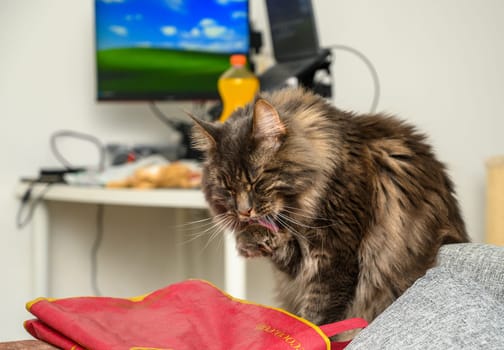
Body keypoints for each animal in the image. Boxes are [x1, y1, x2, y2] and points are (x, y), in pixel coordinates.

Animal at [189, 87, 468, 326]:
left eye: (256, 182)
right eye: (227, 189)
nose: (244, 211)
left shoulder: (335, 256)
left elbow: (318, 314)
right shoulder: (299, 263)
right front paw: (250, 238)